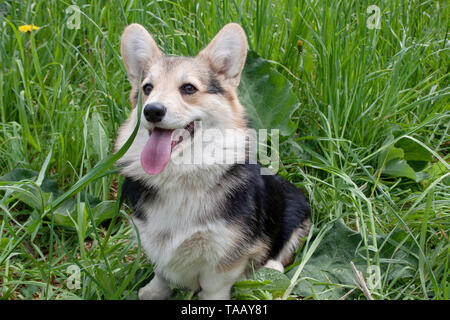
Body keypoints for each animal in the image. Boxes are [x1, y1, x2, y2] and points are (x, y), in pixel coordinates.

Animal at [114, 23, 312, 300]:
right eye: (147, 88)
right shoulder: (153, 241)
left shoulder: (224, 258)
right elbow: (162, 273)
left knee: (282, 254)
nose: (151, 110)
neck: (182, 172)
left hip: (295, 211)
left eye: (188, 88)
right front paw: (153, 292)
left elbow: (212, 288)